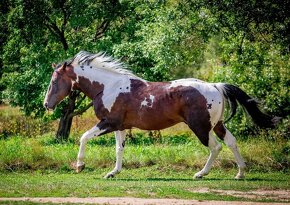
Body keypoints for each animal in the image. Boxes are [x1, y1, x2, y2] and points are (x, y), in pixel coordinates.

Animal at [43, 50, 278, 179]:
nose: (46, 104)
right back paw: (240, 173)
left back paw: (201, 174)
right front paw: (112, 173)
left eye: (54, 81)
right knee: (231, 142)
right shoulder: (119, 126)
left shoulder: (107, 123)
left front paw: (80, 165)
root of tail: (214, 86)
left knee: (216, 147)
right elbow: (119, 150)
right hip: (217, 124)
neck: (107, 86)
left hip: (201, 128)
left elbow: (83, 138)